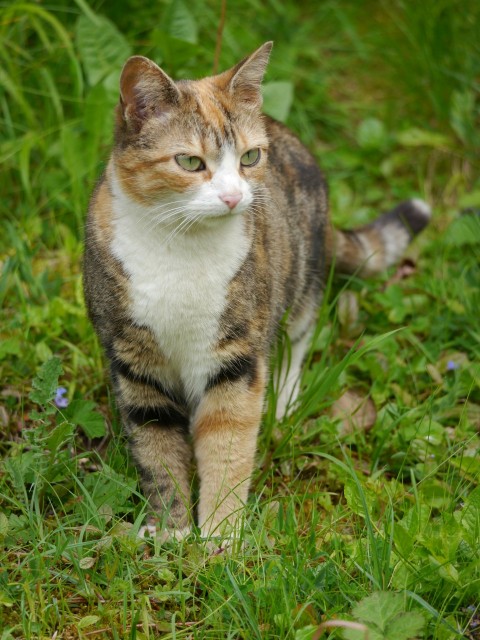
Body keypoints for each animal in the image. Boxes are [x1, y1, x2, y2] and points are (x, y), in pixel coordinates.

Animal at [83, 41, 432, 540]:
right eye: (190, 162)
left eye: (249, 158)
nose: (233, 197)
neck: (179, 249)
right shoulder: (134, 362)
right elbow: (156, 449)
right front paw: (170, 529)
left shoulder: (236, 357)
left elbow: (228, 440)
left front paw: (220, 535)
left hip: (301, 282)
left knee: (296, 342)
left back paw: (284, 403)